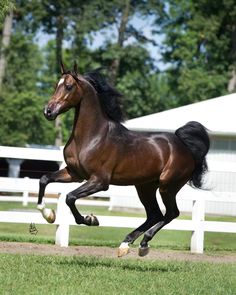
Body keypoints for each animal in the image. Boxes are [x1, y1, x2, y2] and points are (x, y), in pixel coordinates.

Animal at [37, 61, 210, 256]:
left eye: (68, 86)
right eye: (56, 85)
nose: (48, 111)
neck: (93, 136)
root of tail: (185, 147)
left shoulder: (99, 181)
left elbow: (70, 197)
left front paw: (91, 219)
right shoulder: (74, 174)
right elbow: (44, 179)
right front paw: (49, 215)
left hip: (167, 186)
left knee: (171, 213)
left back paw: (143, 243)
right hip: (145, 187)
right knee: (155, 214)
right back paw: (127, 244)